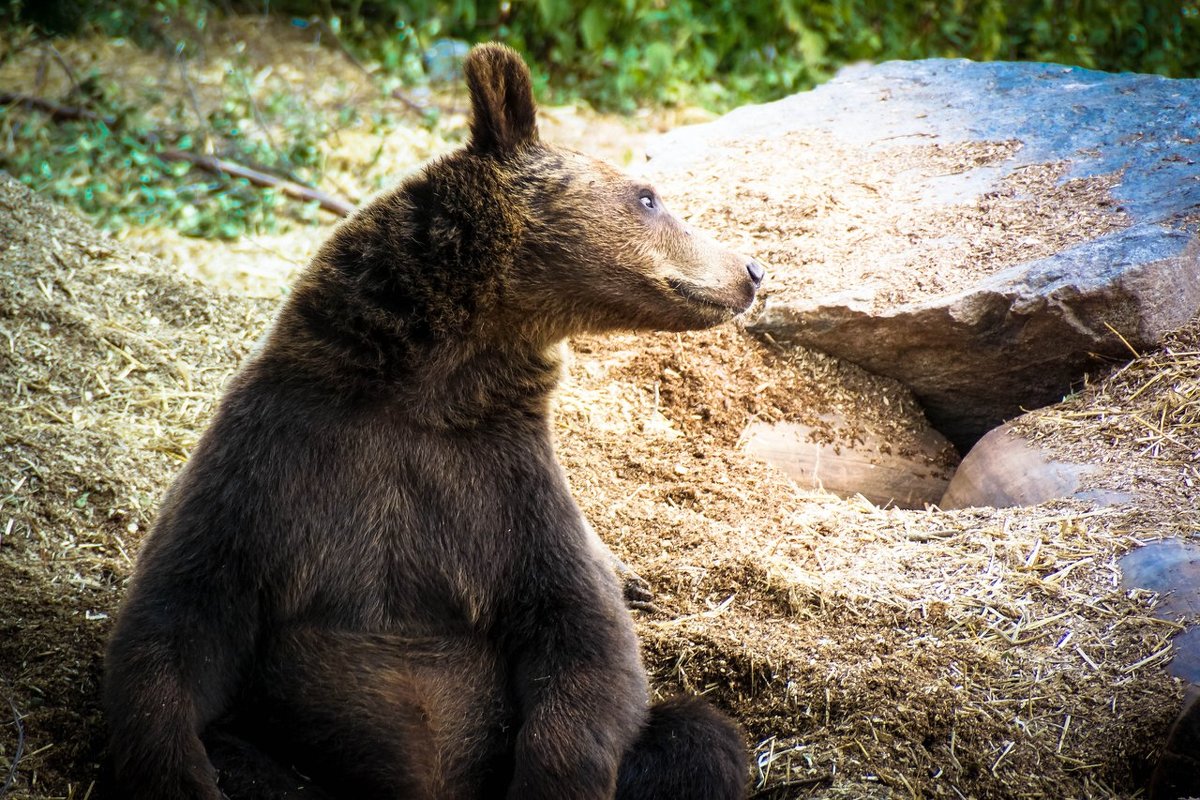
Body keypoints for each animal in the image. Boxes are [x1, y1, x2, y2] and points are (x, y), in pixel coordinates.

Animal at [103, 42, 758, 800]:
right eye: (647, 197)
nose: (751, 269)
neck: (430, 383)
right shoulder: (277, 459)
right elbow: (179, 620)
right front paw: (177, 771)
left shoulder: (503, 491)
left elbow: (586, 645)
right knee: (247, 756)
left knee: (699, 738)